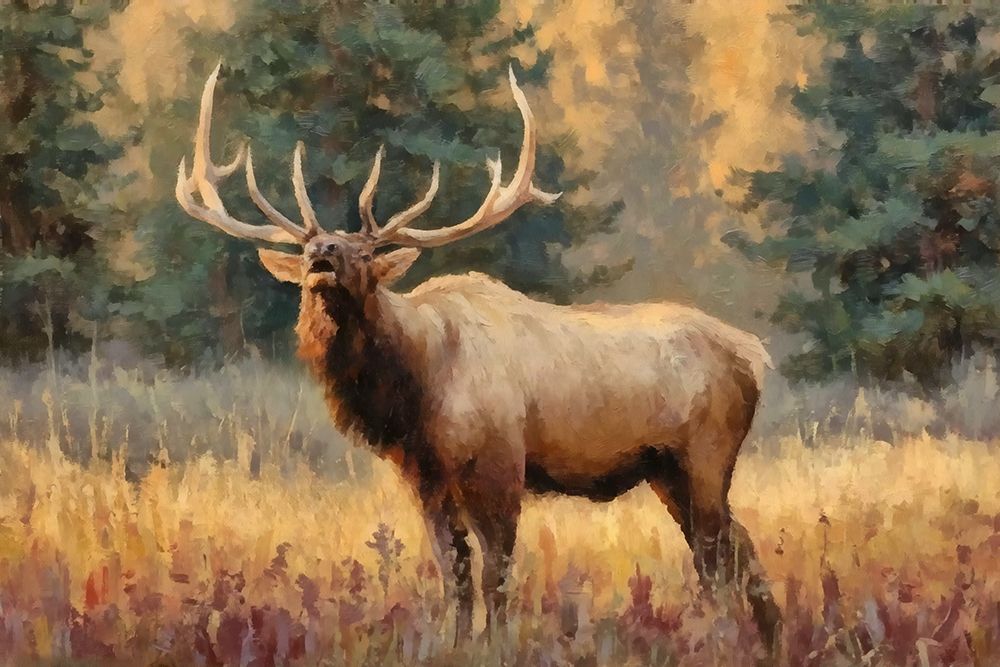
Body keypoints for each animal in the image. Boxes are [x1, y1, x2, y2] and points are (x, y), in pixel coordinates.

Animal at [175, 62, 782, 649]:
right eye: (307, 250)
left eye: (365, 253)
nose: (322, 252)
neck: (416, 389)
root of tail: (754, 354)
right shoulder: (425, 478)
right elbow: (455, 575)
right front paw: (458, 643)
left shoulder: (500, 463)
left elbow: (496, 575)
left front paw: (497, 646)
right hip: (667, 471)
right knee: (739, 553)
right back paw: (765, 639)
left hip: (706, 454)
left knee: (715, 559)